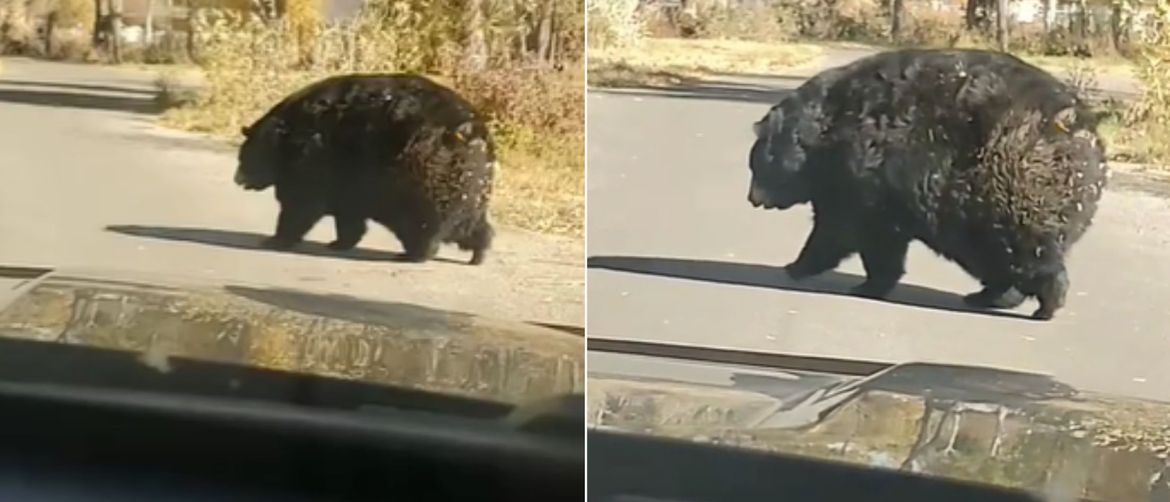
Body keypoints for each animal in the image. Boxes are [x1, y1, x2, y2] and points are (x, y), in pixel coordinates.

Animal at [235, 73, 496, 265]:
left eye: (245, 157)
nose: (237, 178)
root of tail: (475, 134)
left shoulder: (316, 160)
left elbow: (300, 204)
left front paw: (275, 239)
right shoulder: (349, 180)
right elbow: (348, 215)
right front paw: (340, 242)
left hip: (422, 176)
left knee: (424, 221)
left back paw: (414, 254)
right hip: (468, 185)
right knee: (470, 222)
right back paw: (479, 252)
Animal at [748, 48, 1104, 318]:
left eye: (756, 165)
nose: (752, 198)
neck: (822, 137)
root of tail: (1080, 131)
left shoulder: (861, 174)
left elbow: (844, 230)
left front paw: (800, 265)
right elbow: (882, 240)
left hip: (1006, 186)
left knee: (1022, 250)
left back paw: (1045, 302)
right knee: (1000, 258)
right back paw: (991, 296)